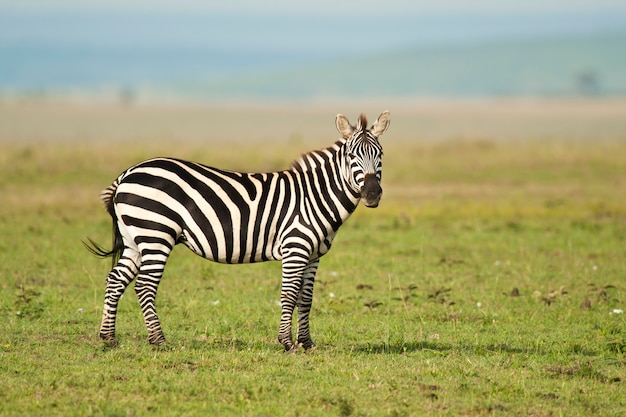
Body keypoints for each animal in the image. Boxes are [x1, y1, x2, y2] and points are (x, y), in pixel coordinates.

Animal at [86, 110, 390, 352]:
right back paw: (158, 340)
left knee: (116, 280)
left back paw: (108, 337)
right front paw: (287, 343)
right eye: (351, 156)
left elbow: (306, 298)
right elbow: (289, 295)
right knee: (145, 285)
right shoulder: (295, 248)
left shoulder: (314, 254)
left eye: (380, 155)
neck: (314, 196)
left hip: (135, 239)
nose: (372, 194)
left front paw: (307, 343)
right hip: (156, 235)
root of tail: (128, 173)